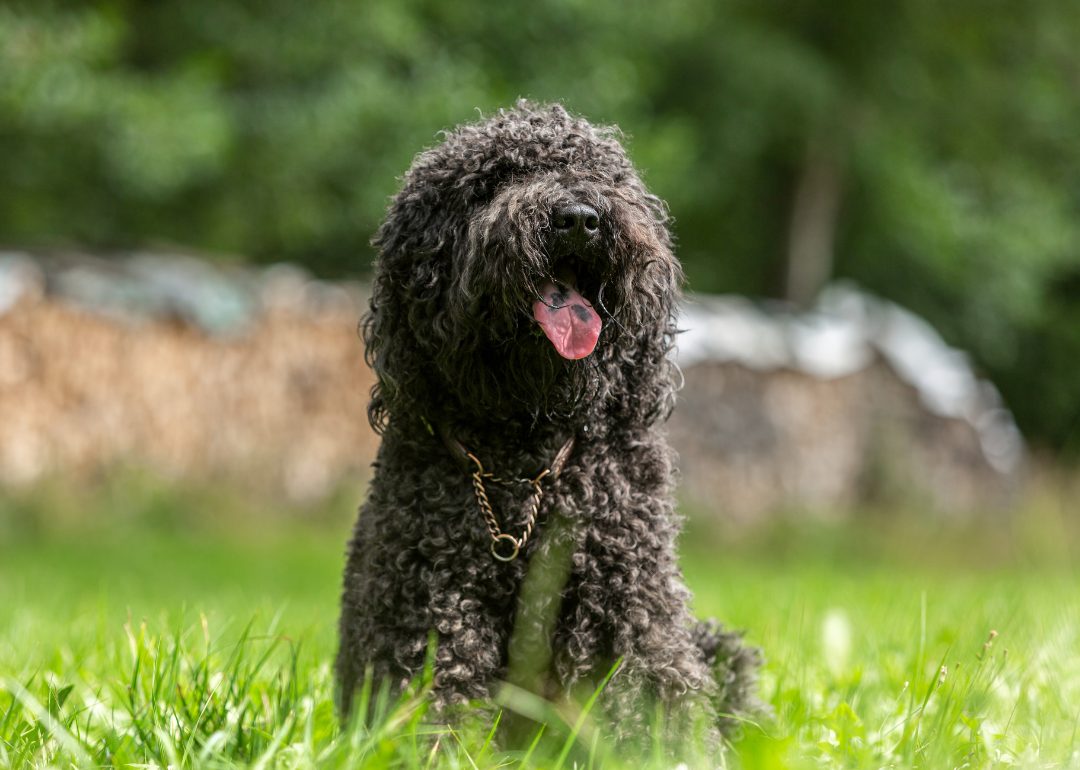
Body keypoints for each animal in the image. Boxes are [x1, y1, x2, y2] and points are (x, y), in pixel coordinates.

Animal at [334, 100, 760, 751]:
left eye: (602, 175)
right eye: (491, 183)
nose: (579, 219)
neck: (523, 459)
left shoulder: (628, 604)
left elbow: (661, 703)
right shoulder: (431, 612)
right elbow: (438, 708)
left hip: (721, 650)